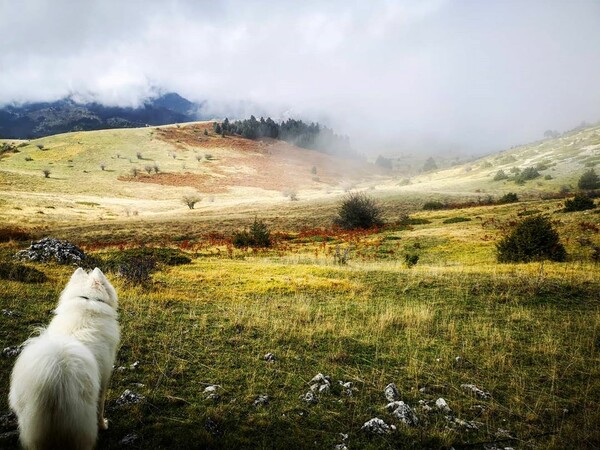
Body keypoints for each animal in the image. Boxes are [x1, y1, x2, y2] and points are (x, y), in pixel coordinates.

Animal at [9, 268, 120, 448]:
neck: (87, 302)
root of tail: (53, 376)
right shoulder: (103, 379)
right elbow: (101, 407)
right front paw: (104, 425)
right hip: (82, 421)